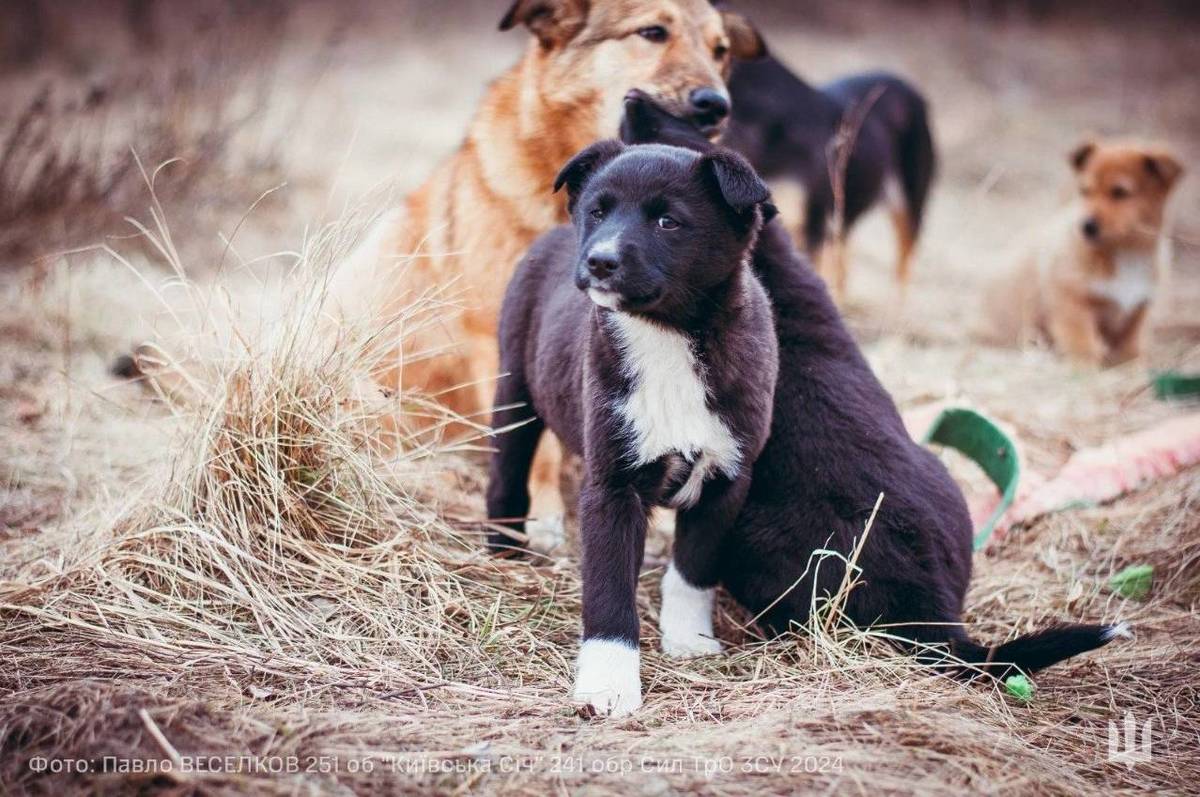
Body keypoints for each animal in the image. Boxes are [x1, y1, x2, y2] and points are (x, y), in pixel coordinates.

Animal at [326, 4, 758, 528]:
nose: (717, 105)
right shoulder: (502, 340)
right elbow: (540, 446)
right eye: (652, 32)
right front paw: (546, 514)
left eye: (721, 50)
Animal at [484, 138, 777, 715]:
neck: (666, 335)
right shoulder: (612, 485)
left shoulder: (728, 477)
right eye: (597, 212)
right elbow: (609, 589)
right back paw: (503, 551)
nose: (600, 260)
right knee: (506, 474)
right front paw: (607, 683)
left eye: (668, 221)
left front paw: (688, 639)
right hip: (515, 389)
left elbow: (693, 567)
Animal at [984, 139, 1180, 364]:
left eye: (1120, 192)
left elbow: (1130, 349)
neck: (1125, 253)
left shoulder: (1139, 310)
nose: (1087, 226)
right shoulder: (1072, 303)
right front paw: (1083, 367)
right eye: (1085, 191)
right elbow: (1083, 344)